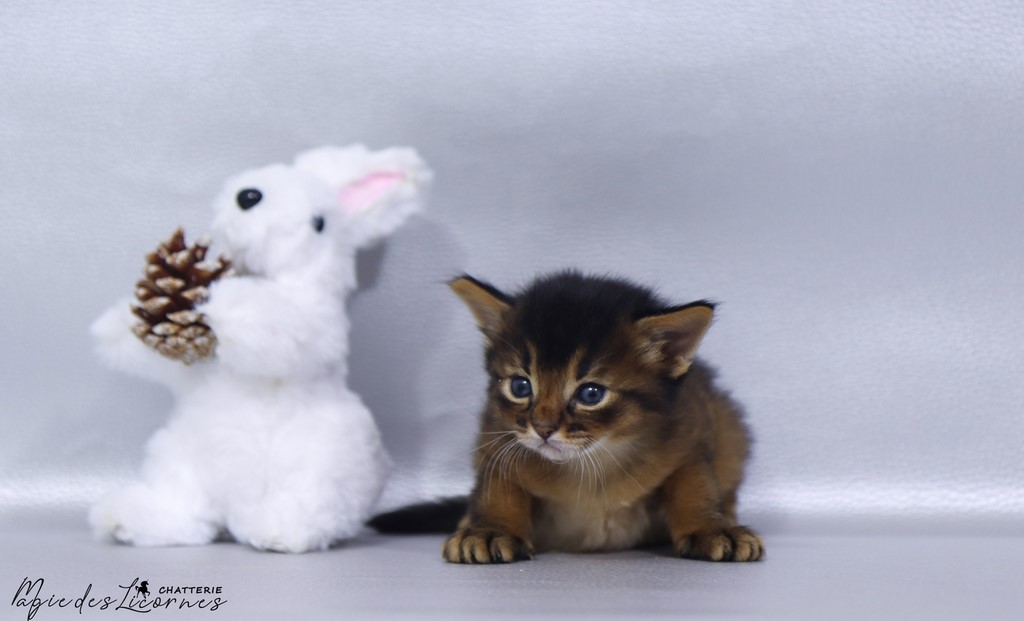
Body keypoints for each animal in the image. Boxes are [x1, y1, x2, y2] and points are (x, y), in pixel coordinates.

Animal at [371, 270, 762, 563]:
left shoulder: (691, 433)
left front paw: (710, 528)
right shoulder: (496, 439)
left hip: (730, 425)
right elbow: (498, 487)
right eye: (520, 386)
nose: (542, 429)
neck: (591, 470)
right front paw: (490, 530)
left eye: (591, 394)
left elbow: (694, 485)